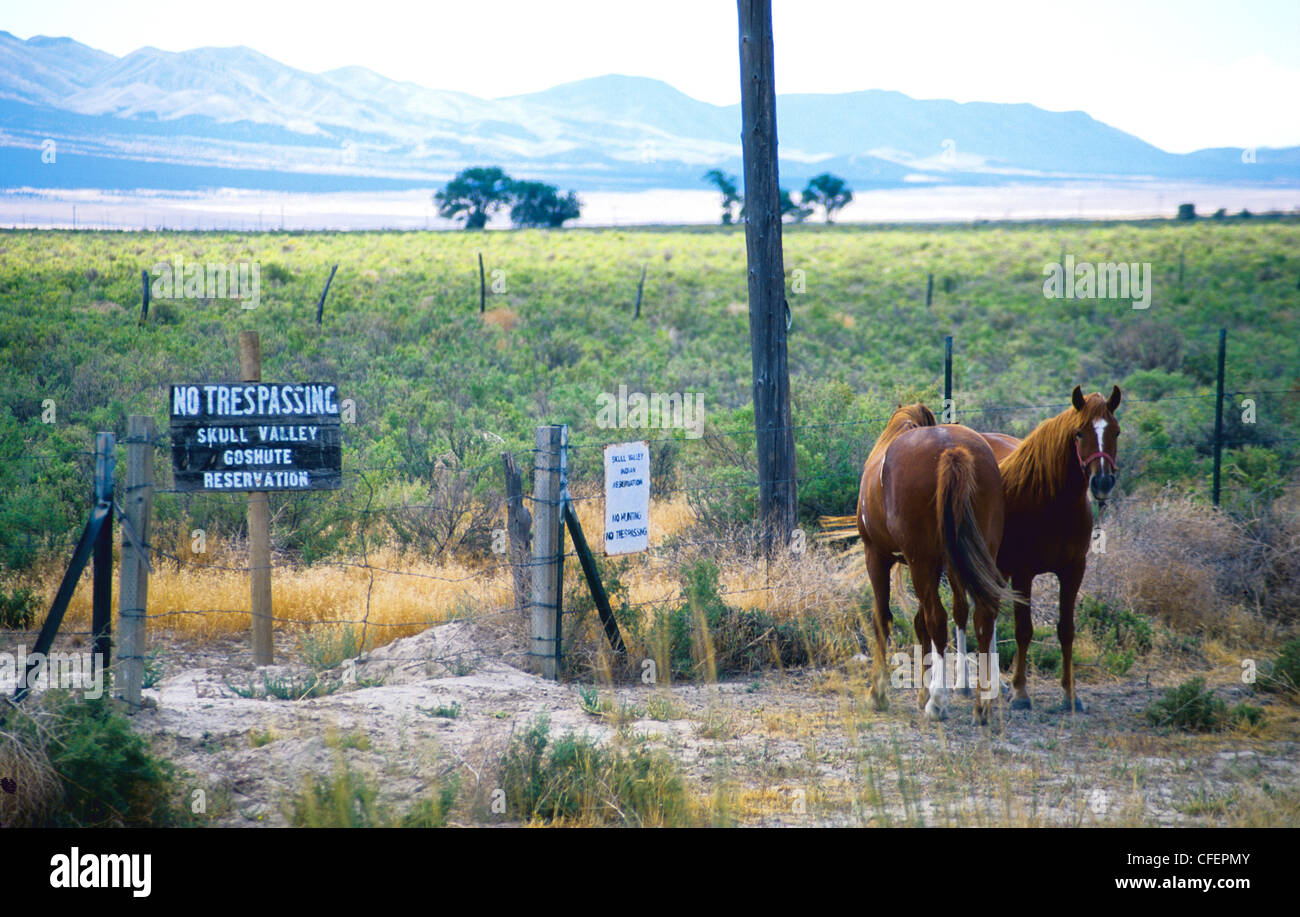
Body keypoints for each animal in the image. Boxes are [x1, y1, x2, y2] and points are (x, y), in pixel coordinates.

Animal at [853, 404, 1010, 722]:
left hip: (920, 561)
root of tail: (950, 450)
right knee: (983, 615)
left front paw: (879, 691)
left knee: (936, 618)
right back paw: (982, 703)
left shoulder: (876, 554)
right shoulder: (946, 562)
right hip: (977, 554)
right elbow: (931, 619)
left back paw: (938, 701)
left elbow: (883, 618)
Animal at [978, 385, 1121, 712]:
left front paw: (1071, 695)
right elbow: (1024, 630)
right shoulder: (1023, 573)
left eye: (1116, 432)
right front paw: (1020, 692)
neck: (1051, 502)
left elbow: (1066, 629)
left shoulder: (1073, 571)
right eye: (1079, 433)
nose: (1103, 482)